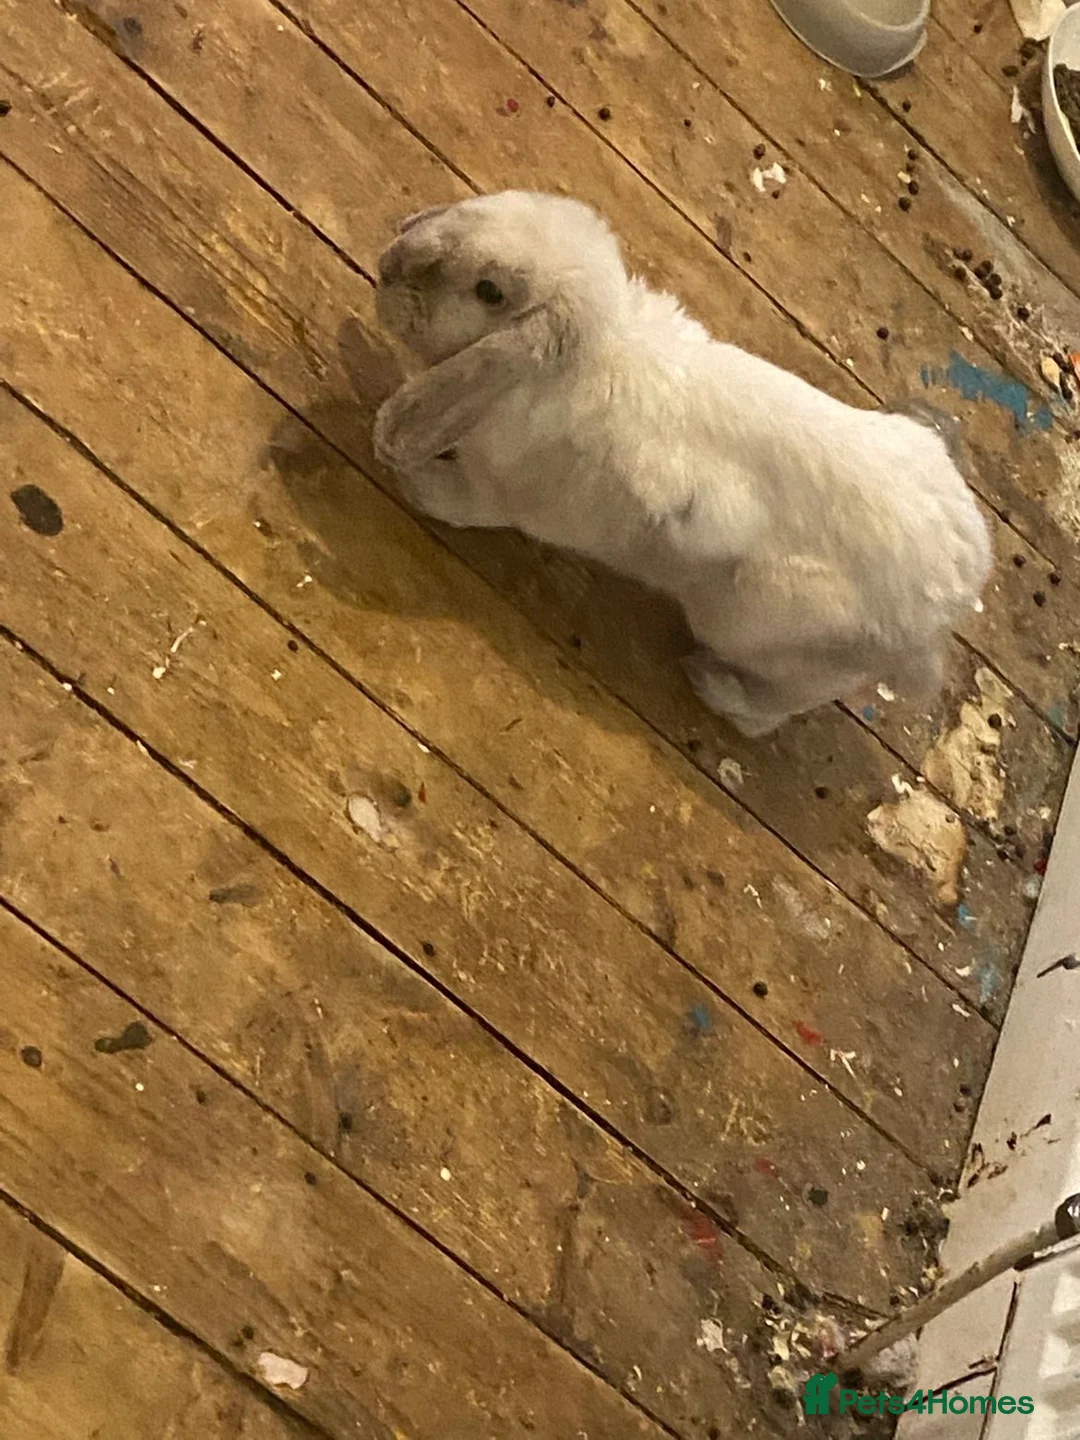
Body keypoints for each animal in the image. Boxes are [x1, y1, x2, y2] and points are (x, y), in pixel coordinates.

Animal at [373, 191, 991, 736]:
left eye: (489, 291)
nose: (387, 267)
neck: (568, 368)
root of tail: (951, 600)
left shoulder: (503, 495)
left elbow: (460, 503)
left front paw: (415, 480)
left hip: (754, 631)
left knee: (769, 714)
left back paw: (712, 684)